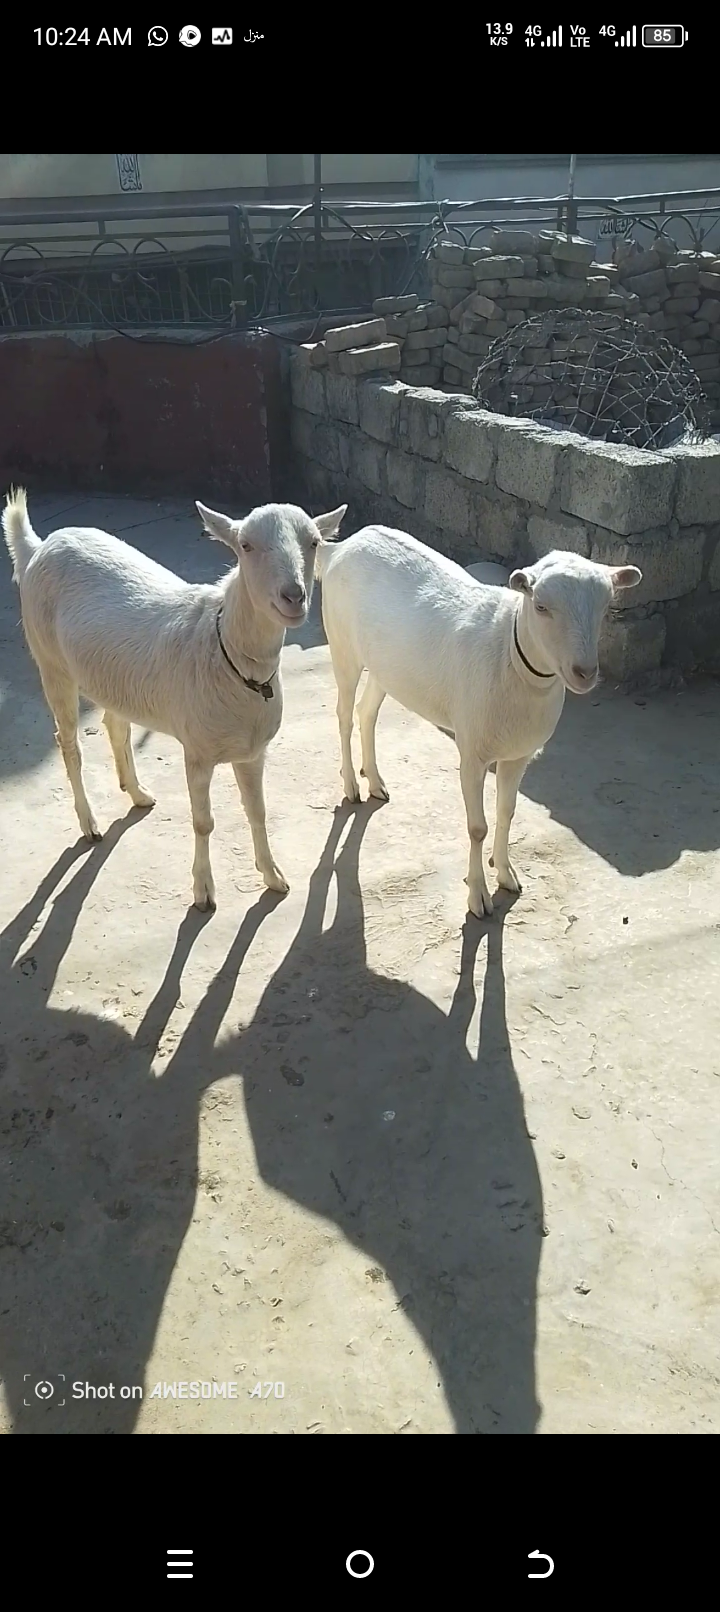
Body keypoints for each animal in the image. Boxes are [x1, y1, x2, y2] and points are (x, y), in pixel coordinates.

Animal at [3, 488, 346, 909]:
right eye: (245, 546)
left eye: (313, 542)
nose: (293, 597)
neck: (226, 654)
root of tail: (38, 546)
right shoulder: (197, 751)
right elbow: (203, 822)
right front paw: (203, 892)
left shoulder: (252, 751)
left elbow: (258, 812)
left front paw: (273, 876)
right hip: (51, 661)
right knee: (69, 744)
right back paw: (89, 824)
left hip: (110, 677)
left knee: (115, 725)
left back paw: (137, 793)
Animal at [317, 526, 641, 917]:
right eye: (541, 606)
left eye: (606, 606)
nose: (584, 673)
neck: (510, 654)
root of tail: (340, 548)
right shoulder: (472, 750)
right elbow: (477, 828)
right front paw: (478, 898)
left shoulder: (519, 753)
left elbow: (507, 812)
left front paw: (506, 874)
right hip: (342, 645)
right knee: (344, 714)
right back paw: (351, 785)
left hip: (385, 666)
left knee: (367, 712)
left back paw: (376, 781)